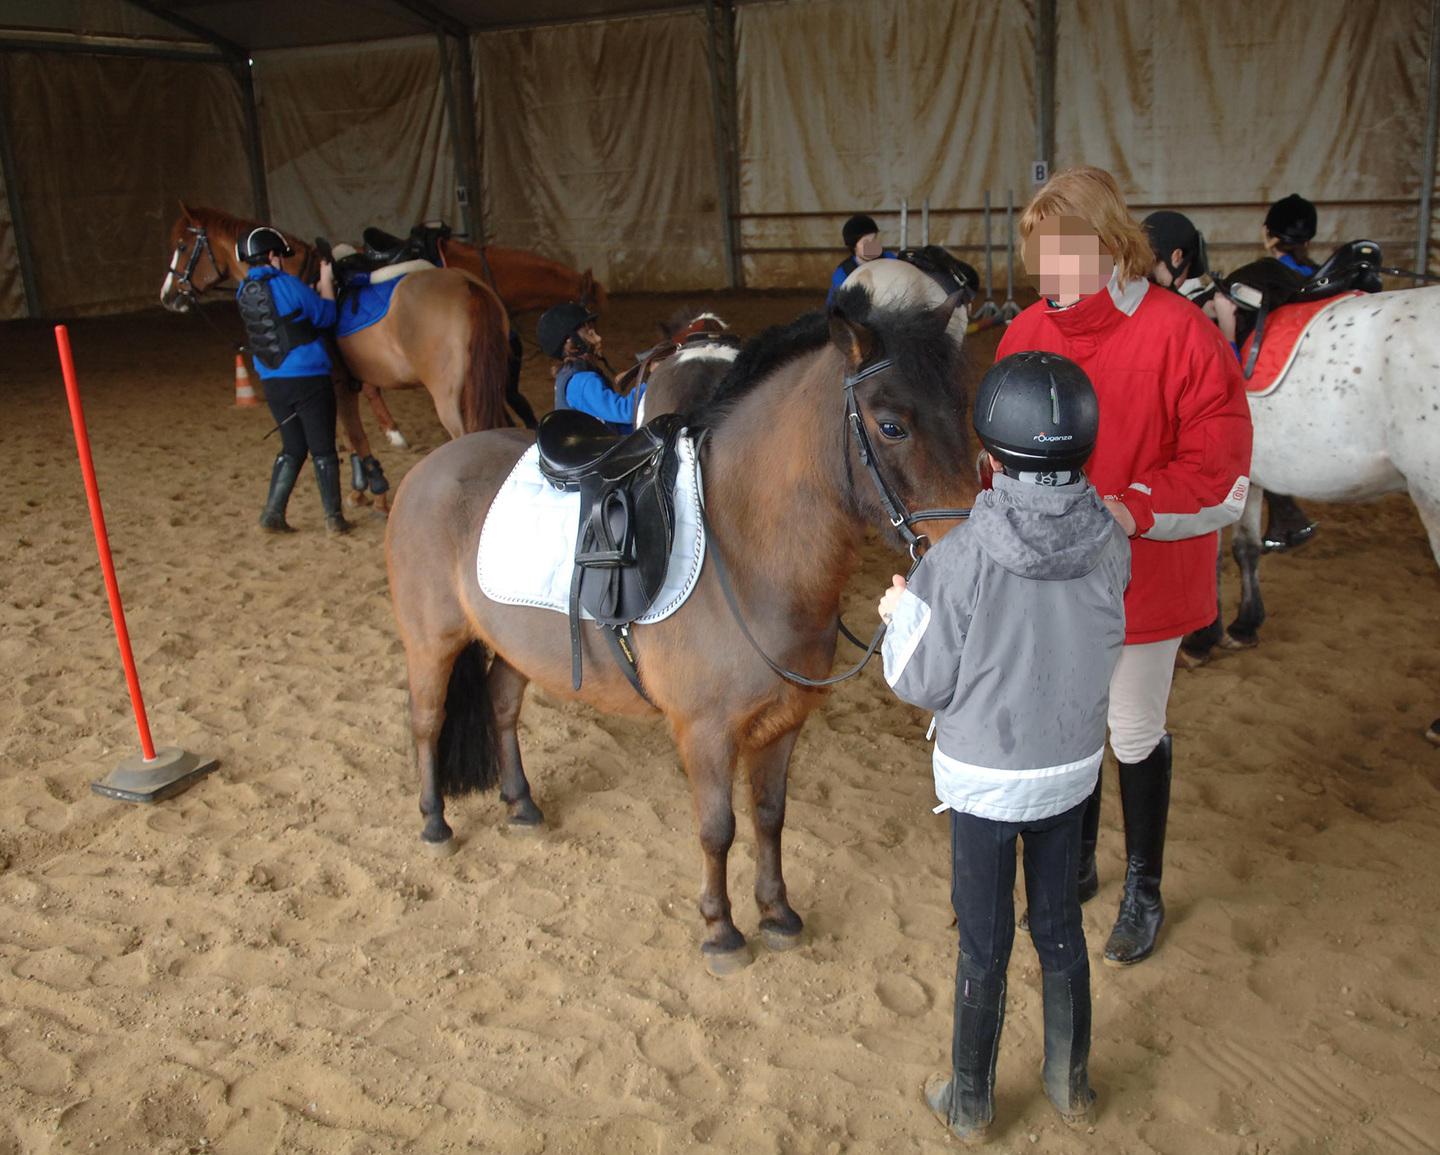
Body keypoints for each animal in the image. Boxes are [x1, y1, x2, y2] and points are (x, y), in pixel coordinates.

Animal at [383, 263, 973, 973]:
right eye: (891, 427)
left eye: (964, 410)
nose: (970, 544)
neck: (744, 556)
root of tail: (428, 468)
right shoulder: (706, 733)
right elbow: (717, 829)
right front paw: (720, 930)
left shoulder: (782, 725)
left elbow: (769, 815)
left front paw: (777, 913)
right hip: (431, 643)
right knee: (426, 721)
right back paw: (433, 821)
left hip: (515, 646)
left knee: (500, 703)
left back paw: (521, 804)